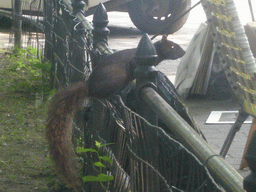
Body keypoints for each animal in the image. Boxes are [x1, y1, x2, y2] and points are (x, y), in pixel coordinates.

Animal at [46, 35, 185, 190]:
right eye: (173, 46)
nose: (184, 52)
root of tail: (89, 87)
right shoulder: (133, 62)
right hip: (115, 79)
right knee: (102, 94)